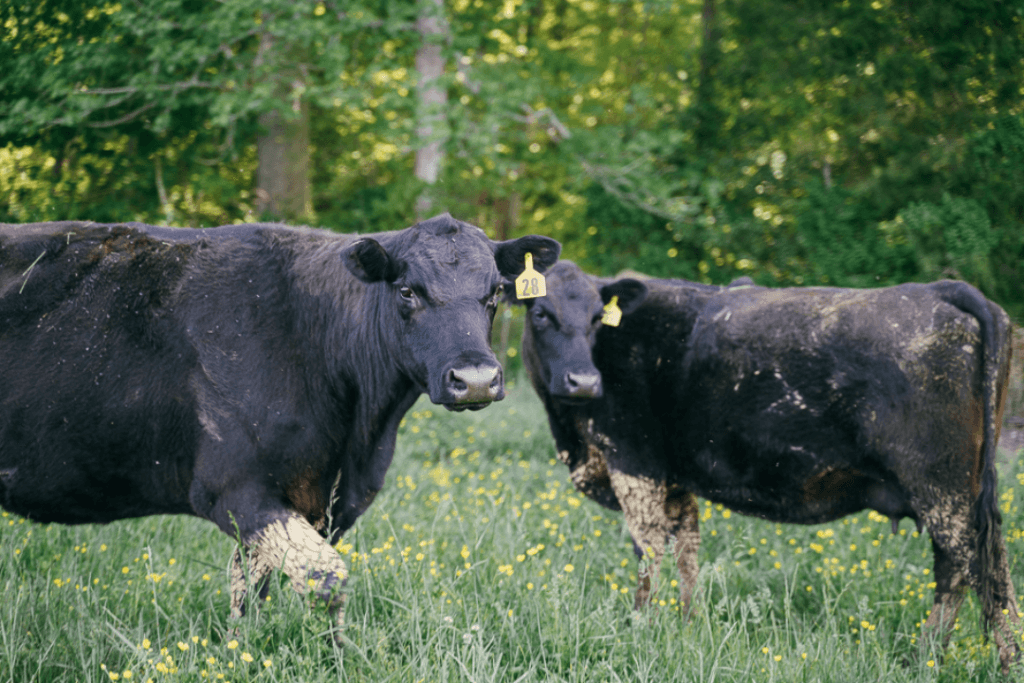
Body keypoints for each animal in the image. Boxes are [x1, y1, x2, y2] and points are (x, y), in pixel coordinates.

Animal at [0, 215, 560, 641]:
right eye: (407, 291)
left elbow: (251, 589)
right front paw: (336, 659)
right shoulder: (234, 487)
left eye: (496, 292)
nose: (476, 379)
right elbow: (326, 578)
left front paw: (241, 652)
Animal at [516, 260, 1019, 672]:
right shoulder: (676, 479)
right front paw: (687, 626)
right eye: (540, 314)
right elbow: (686, 552)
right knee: (973, 570)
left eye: (596, 318)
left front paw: (639, 628)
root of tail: (939, 289)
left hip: (941, 488)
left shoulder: (633, 462)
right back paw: (953, 659)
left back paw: (970, 661)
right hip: (960, 491)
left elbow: (649, 552)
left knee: (974, 568)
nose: (584, 382)